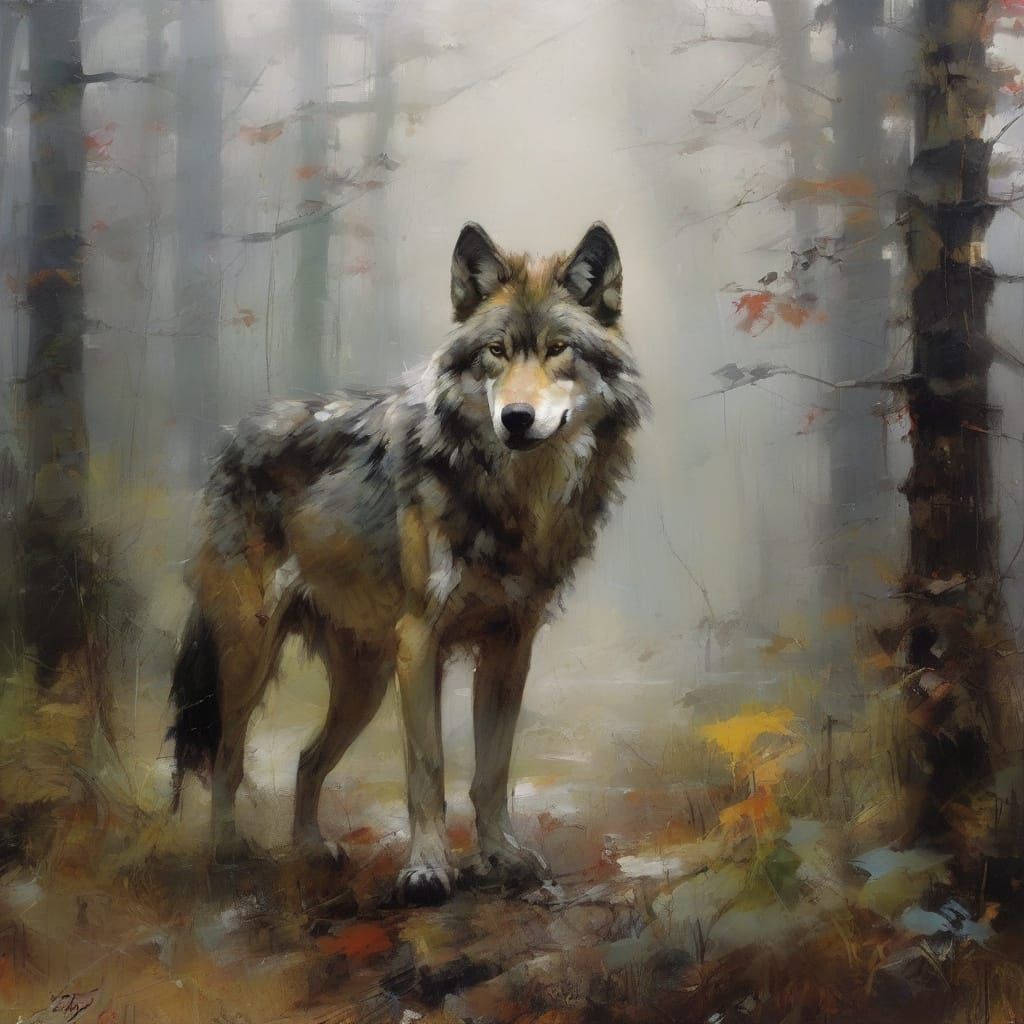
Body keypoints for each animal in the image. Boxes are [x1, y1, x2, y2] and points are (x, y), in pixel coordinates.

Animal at [168, 222, 649, 905]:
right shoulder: (420, 643)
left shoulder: (510, 647)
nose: (517, 419)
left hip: (363, 683)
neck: (512, 497)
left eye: (559, 349)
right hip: (247, 657)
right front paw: (426, 870)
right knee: (228, 757)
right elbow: (428, 769)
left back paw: (310, 847)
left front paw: (501, 855)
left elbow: (492, 770)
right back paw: (229, 850)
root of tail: (233, 440)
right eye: (496, 352)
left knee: (305, 760)